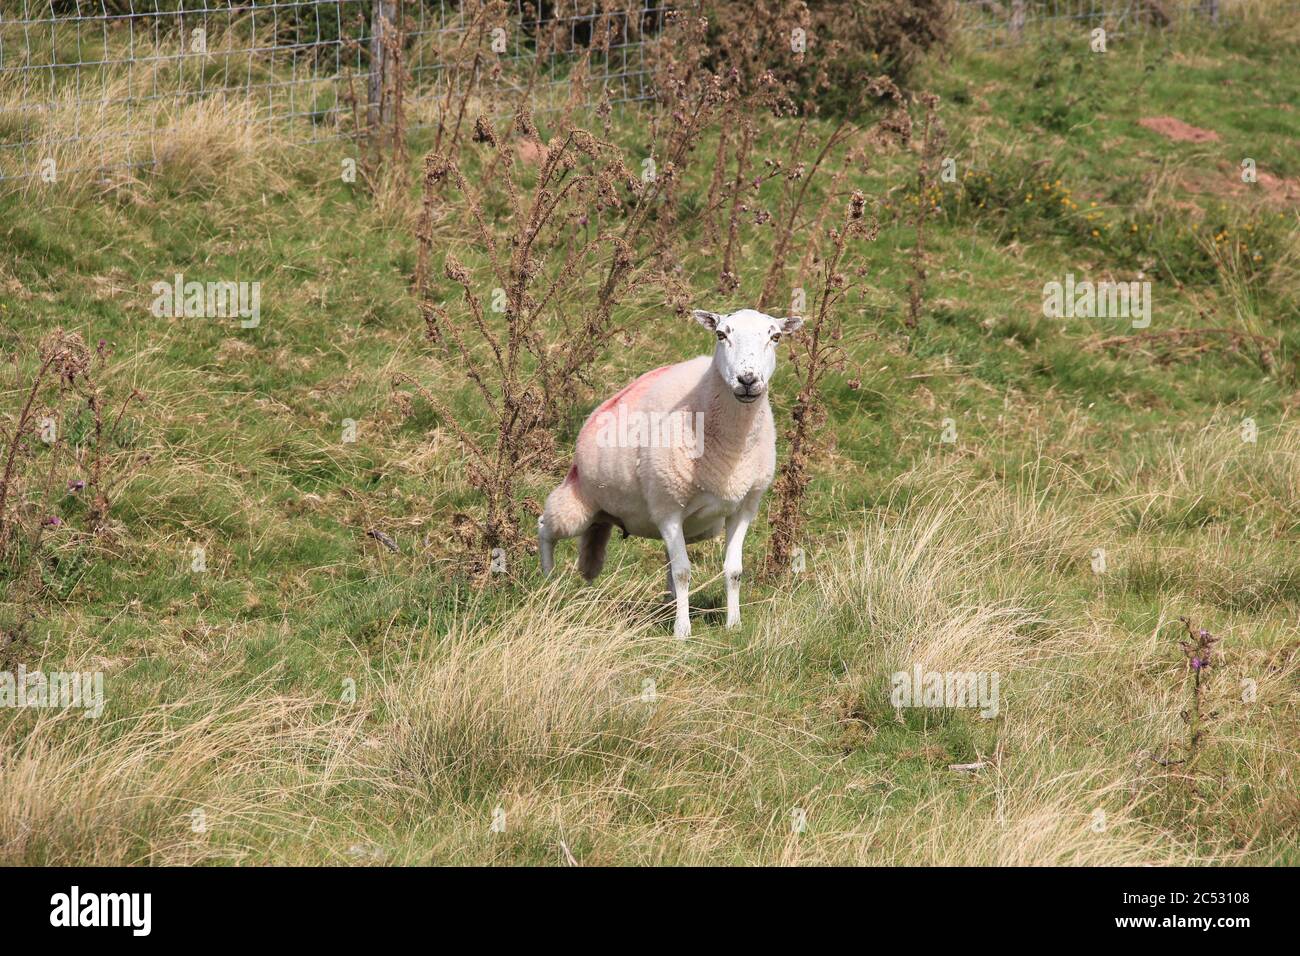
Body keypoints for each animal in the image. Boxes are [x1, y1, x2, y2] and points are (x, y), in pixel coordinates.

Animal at [535, 306, 800, 634]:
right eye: (721, 334)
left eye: (775, 337)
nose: (747, 379)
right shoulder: (667, 506)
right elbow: (684, 572)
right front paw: (682, 631)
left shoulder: (744, 507)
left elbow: (733, 570)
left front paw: (734, 624)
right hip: (578, 502)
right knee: (545, 526)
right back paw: (548, 583)